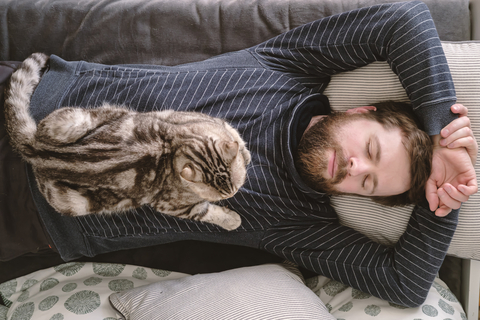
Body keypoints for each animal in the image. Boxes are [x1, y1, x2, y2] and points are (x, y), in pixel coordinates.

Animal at [4, 53, 251, 231]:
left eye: (235, 188)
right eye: (223, 195)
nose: (232, 195)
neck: (174, 147)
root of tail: (37, 149)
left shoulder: (209, 122)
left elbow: (235, 135)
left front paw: (246, 154)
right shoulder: (174, 206)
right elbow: (208, 213)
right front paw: (232, 220)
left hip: (69, 122)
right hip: (71, 202)